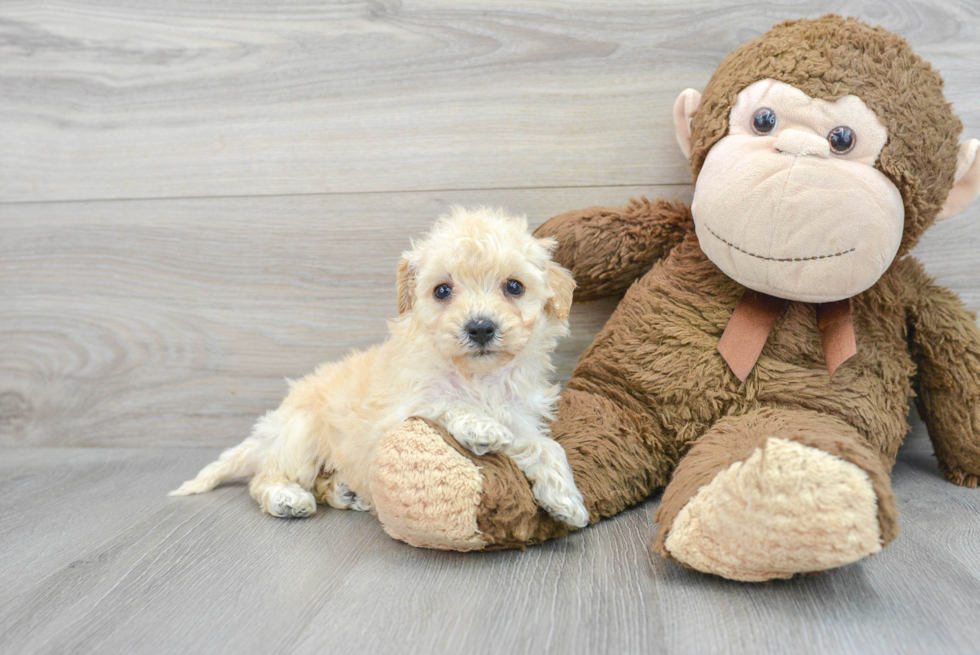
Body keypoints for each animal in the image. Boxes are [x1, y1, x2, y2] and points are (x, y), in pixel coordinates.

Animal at [172, 208, 588, 532]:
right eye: (442, 290)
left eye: (514, 287)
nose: (481, 328)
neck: (477, 377)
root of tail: (268, 432)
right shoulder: (397, 413)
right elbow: (443, 403)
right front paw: (481, 427)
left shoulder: (520, 415)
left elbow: (546, 446)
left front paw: (567, 499)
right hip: (300, 435)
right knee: (264, 479)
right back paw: (287, 498)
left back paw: (343, 490)